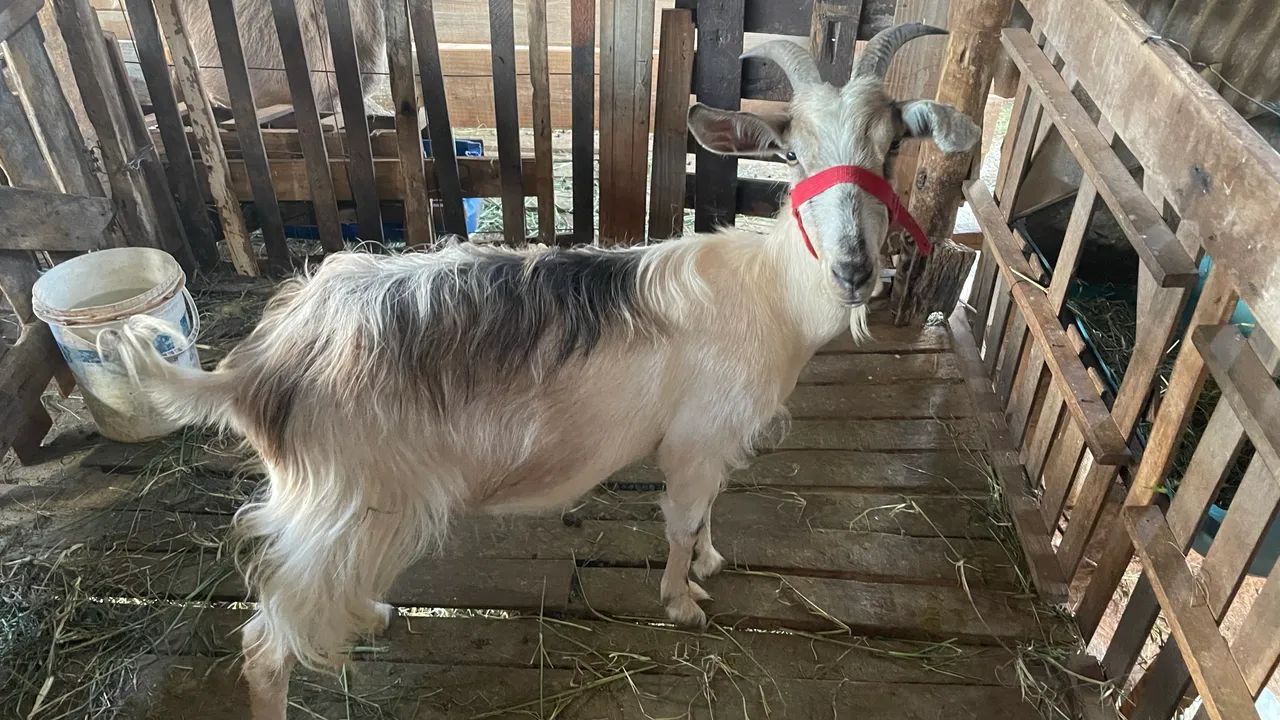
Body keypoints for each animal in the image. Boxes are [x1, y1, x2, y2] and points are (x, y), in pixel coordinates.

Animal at [110, 24, 979, 720]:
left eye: (891, 146)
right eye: (791, 151)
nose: (855, 269)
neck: (771, 290)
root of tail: (256, 370)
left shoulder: (717, 441)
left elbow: (709, 516)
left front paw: (709, 565)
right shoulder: (692, 441)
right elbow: (680, 520)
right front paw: (681, 603)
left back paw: (374, 611)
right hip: (341, 502)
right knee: (264, 645)